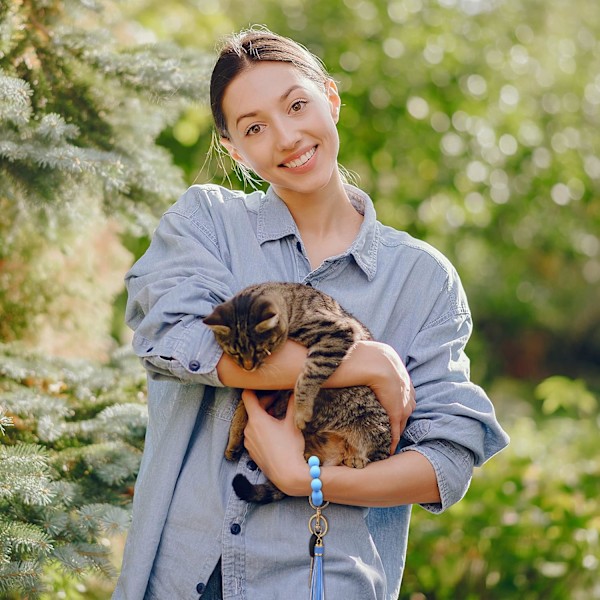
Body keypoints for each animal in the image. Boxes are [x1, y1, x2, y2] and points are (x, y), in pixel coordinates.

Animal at [204, 282, 392, 502]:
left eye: (260, 350)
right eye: (234, 353)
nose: (248, 367)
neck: (292, 306)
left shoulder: (336, 333)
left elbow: (310, 373)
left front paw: (301, 410)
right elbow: (242, 410)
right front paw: (234, 442)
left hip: (374, 425)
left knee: (375, 455)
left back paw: (355, 457)